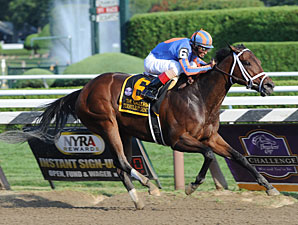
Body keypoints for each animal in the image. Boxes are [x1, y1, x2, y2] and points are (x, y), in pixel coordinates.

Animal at [27, 44, 280, 209]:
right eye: (247, 62)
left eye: (257, 60)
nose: (270, 85)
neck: (198, 96)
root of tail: (84, 89)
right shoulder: (178, 140)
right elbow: (208, 155)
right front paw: (191, 186)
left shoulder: (210, 137)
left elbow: (240, 157)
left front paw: (269, 187)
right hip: (106, 124)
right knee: (122, 162)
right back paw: (150, 185)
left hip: (124, 132)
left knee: (120, 166)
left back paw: (138, 201)